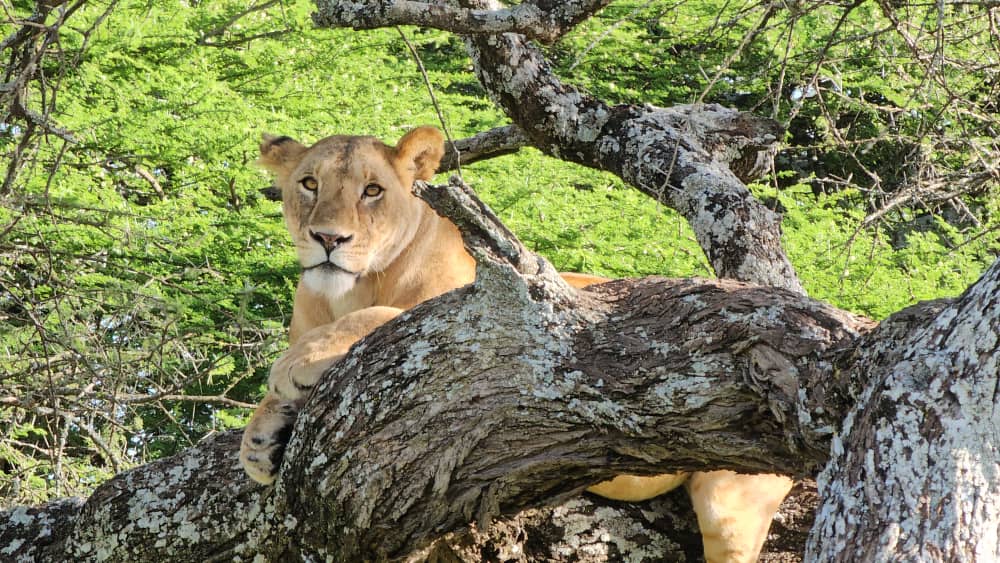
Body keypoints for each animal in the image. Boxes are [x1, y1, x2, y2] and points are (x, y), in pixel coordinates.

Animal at [239, 126, 792, 563]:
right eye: (309, 184)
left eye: (372, 190)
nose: (329, 239)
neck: (342, 293)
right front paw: (258, 442)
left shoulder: (469, 318)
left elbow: (381, 317)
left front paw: (299, 361)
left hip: (732, 504)